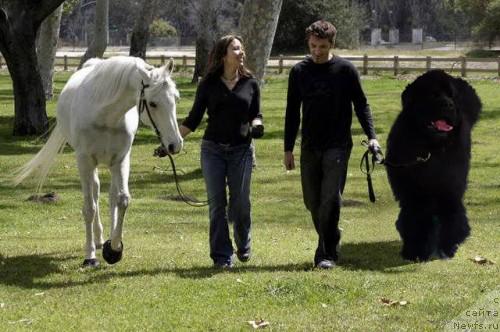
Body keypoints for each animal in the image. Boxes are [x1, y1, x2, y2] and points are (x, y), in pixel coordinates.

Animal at [13, 54, 184, 268]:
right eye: (152, 103)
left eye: (176, 98)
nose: (175, 145)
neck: (105, 116)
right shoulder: (85, 161)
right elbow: (89, 208)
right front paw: (90, 256)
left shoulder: (121, 160)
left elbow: (122, 200)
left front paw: (114, 248)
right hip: (91, 166)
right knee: (94, 192)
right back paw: (97, 239)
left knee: (111, 197)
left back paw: (106, 239)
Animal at [384, 70, 482, 262]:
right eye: (433, 95)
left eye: (451, 96)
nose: (449, 105)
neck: (432, 149)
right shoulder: (413, 192)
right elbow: (417, 218)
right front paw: (416, 250)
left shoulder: (450, 188)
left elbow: (451, 214)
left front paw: (447, 246)